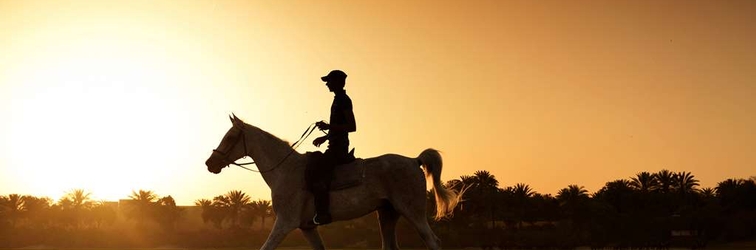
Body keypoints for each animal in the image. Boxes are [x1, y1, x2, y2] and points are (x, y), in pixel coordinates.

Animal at [207, 115, 464, 250]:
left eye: (230, 137)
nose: (210, 163)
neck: (284, 170)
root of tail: (414, 160)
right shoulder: (307, 227)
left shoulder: (284, 223)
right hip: (387, 214)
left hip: (412, 212)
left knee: (433, 241)